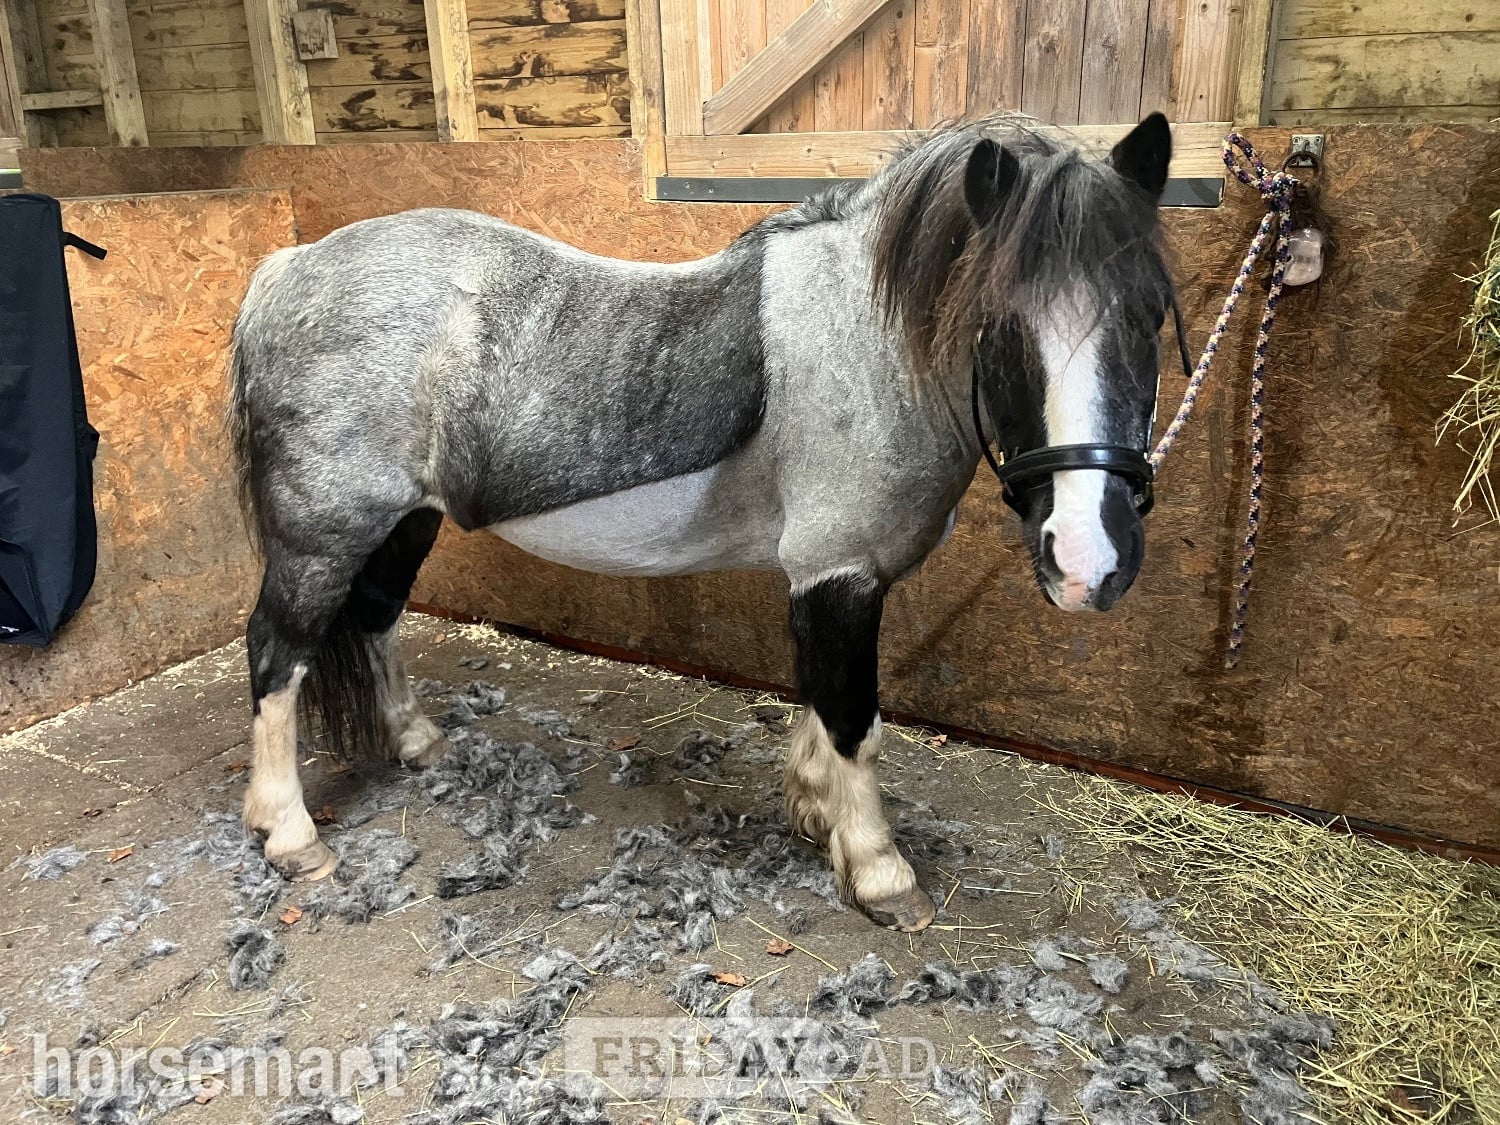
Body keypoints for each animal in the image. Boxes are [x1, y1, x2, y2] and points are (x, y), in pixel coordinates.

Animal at [227, 111, 1178, 933]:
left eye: (1150, 314)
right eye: (998, 325)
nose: (1089, 561)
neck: (864, 348)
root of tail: (287, 269)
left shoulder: (832, 577)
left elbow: (821, 700)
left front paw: (812, 808)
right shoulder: (838, 572)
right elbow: (854, 718)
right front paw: (878, 870)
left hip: (405, 522)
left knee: (377, 618)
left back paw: (416, 741)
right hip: (324, 531)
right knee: (278, 651)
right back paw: (290, 835)